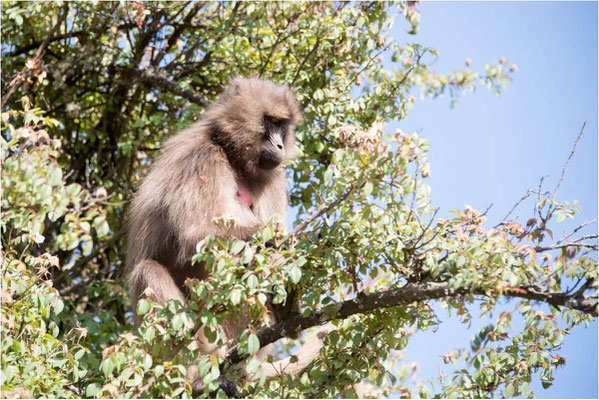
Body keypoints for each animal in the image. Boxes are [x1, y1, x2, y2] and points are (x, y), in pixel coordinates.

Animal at [126, 76, 332, 396]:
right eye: (271, 122)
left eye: (283, 125)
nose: (279, 145)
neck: (230, 153)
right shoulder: (200, 159)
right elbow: (197, 237)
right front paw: (293, 246)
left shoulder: (273, 177)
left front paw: (287, 286)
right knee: (147, 271)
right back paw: (197, 377)